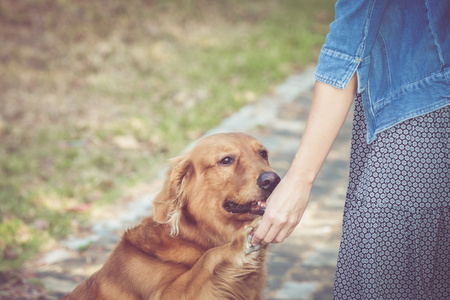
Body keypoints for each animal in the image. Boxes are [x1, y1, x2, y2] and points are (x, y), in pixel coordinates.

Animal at [62, 133, 282, 300]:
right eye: (226, 160)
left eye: (263, 153)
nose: (273, 180)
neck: (195, 237)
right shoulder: (166, 294)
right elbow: (206, 261)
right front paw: (237, 246)